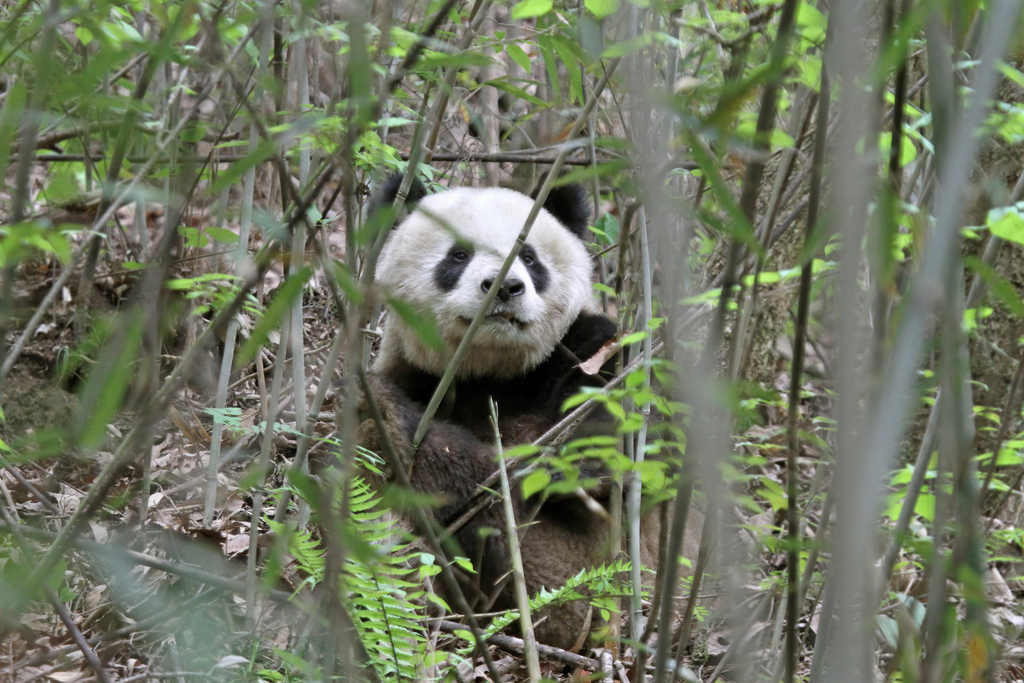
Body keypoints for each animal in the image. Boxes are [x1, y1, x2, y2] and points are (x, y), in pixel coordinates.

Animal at [354, 174, 675, 649]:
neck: (491, 369)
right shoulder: (414, 371)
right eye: (458, 255)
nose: (505, 287)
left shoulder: (599, 356)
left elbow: (582, 455)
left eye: (529, 257)